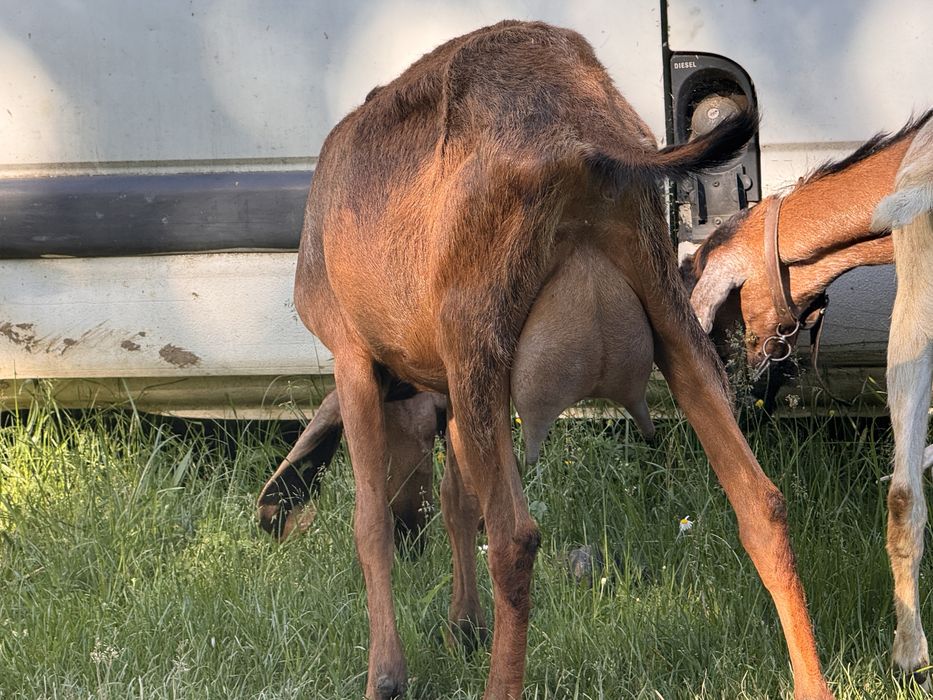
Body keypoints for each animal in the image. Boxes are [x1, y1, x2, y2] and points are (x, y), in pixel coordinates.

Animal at [285, 20, 832, 699]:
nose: (415, 533)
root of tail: (584, 134)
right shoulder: (447, 384)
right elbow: (455, 498)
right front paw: (462, 626)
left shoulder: (353, 353)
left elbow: (370, 522)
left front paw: (387, 674)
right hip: (662, 307)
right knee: (761, 500)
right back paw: (811, 682)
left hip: (478, 334)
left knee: (514, 538)